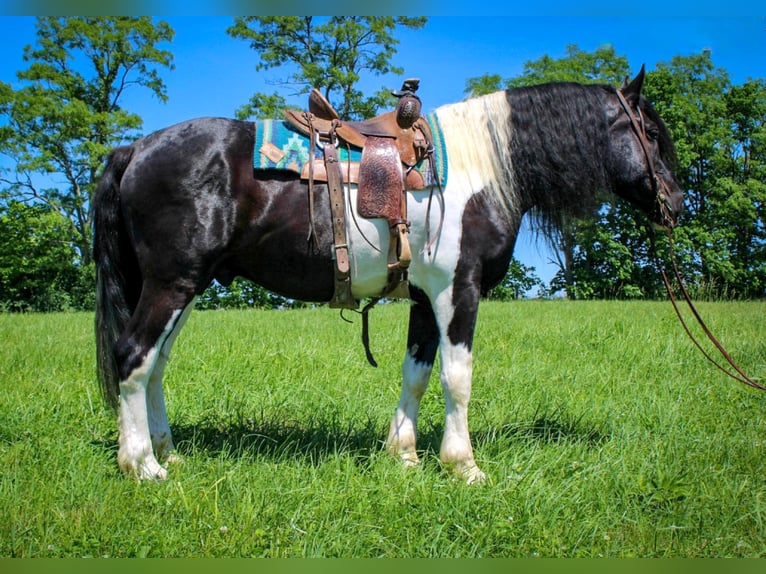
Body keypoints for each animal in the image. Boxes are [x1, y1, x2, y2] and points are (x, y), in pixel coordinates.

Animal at [93, 68, 688, 486]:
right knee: (133, 357)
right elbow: (457, 377)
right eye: (650, 132)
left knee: (155, 364)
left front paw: (403, 455)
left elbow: (416, 374)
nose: (678, 205)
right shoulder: (458, 290)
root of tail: (134, 148)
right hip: (172, 283)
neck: (481, 168)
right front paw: (464, 466)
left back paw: (168, 452)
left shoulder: (425, 297)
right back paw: (142, 465)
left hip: (186, 286)